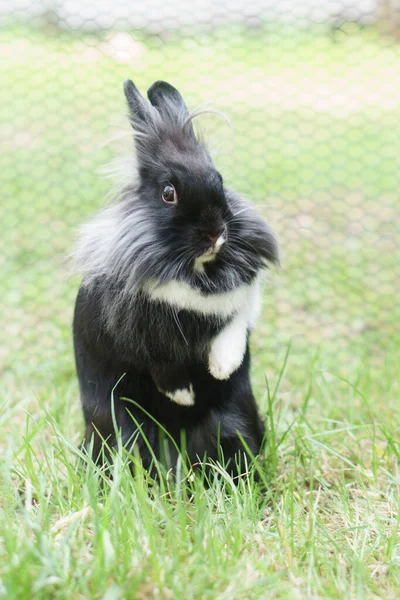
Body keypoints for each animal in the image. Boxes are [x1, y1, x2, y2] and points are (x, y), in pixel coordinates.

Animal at [72, 79, 278, 480]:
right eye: (169, 193)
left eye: (220, 180)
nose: (216, 233)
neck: (196, 270)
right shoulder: (135, 329)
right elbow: (160, 362)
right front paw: (183, 395)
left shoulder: (242, 301)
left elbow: (233, 328)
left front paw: (222, 368)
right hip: (117, 427)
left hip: (234, 423)